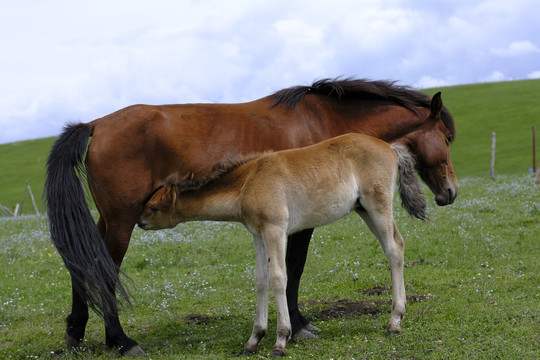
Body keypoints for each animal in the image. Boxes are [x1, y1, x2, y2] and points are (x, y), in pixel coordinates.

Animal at [139, 134, 430, 356]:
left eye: (153, 207)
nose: (139, 221)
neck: (248, 182)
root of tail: (389, 147)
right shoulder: (257, 234)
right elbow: (261, 280)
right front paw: (254, 339)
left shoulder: (275, 230)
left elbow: (279, 278)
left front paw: (281, 340)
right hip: (364, 210)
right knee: (396, 245)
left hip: (377, 206)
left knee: (394, 249)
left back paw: (394, 321)